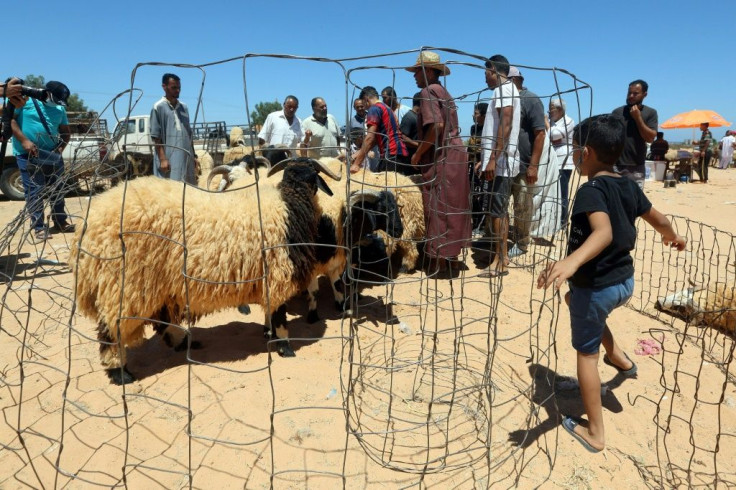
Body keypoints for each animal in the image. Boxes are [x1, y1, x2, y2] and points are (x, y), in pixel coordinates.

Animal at [71, 155, 342, 384]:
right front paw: (285, 347)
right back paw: (120, 373)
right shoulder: (277, 273)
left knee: (159, 321)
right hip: (123, 283)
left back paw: (183, 343)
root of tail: (88, 227)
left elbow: (269, 313)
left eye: (313, 174)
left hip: (150, 283)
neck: (288, 206)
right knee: (111, 330)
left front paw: (268, 334)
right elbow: (279, 316)